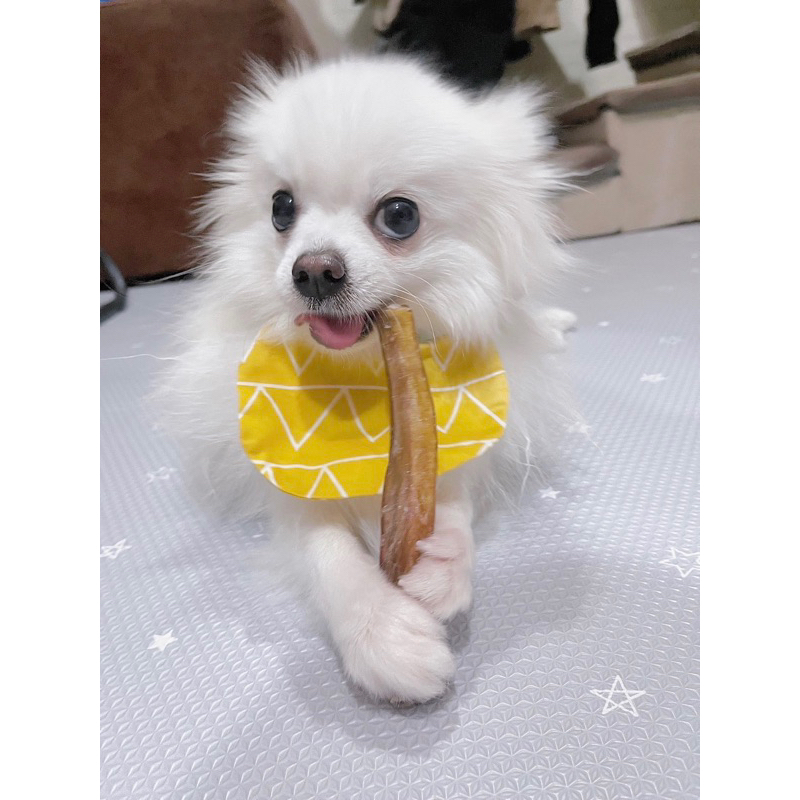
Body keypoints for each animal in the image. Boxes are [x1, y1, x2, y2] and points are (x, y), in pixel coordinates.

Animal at [158, 55, 576, 704]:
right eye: (281, 208)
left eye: (399, 216)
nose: (313, 270)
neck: (363, 376)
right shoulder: (291, 485)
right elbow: (326, 553)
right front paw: (383, 634)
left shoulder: (447, 438)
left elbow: (451, 499)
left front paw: (446, 564)